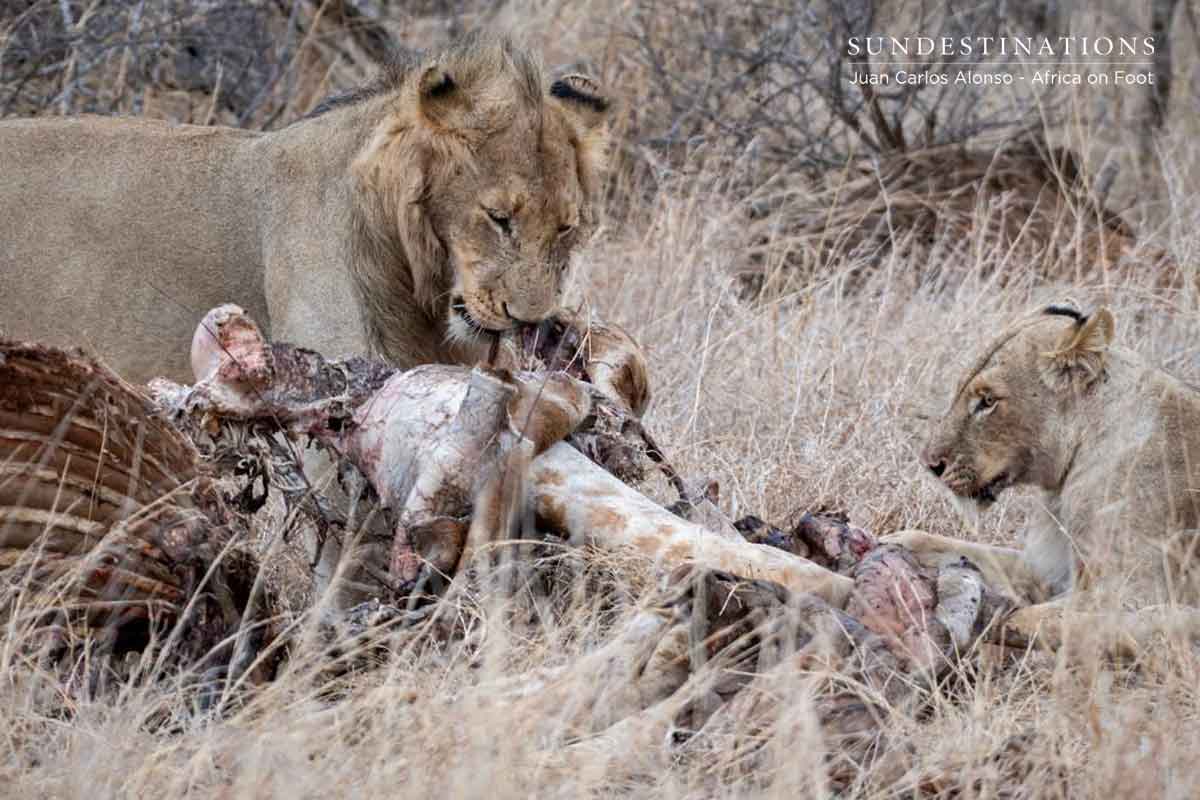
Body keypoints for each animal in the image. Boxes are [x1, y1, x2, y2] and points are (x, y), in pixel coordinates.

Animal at [883, 303, 1200, 654]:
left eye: (988, 401)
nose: (930, 465)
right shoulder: (1048, 568)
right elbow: (950, 545)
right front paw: (891, 542)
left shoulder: (1135, 590)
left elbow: (1034, 619)